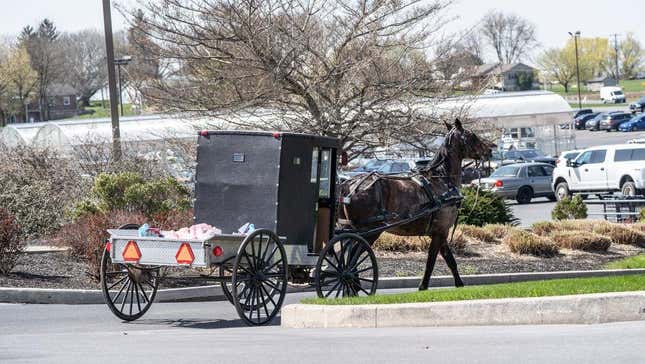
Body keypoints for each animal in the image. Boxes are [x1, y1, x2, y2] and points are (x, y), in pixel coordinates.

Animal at [338, 119, 494, 290]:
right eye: (473, 136)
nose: (490, 150)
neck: (441, 180)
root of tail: (350, 185)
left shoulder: (440, 232)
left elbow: (450, 260)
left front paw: (459, 284)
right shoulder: (440, 232)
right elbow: (432, 261)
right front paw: (423, 286)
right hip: (369, 231)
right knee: (352, 259)